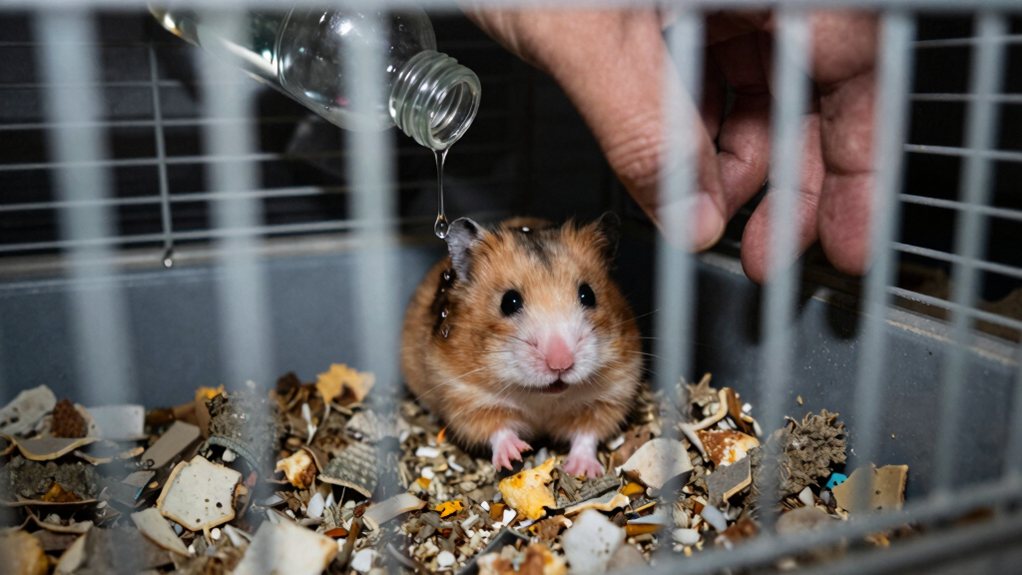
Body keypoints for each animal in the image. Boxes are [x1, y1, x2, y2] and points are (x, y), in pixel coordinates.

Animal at [401, 214, 642, 478]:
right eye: (509, 302)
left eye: (588, 294)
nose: (561, 364)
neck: (541, 398)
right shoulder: (465, 396)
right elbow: (497, 429)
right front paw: (516, 454)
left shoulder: (611, 394)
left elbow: (587, 434)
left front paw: (581, 470)